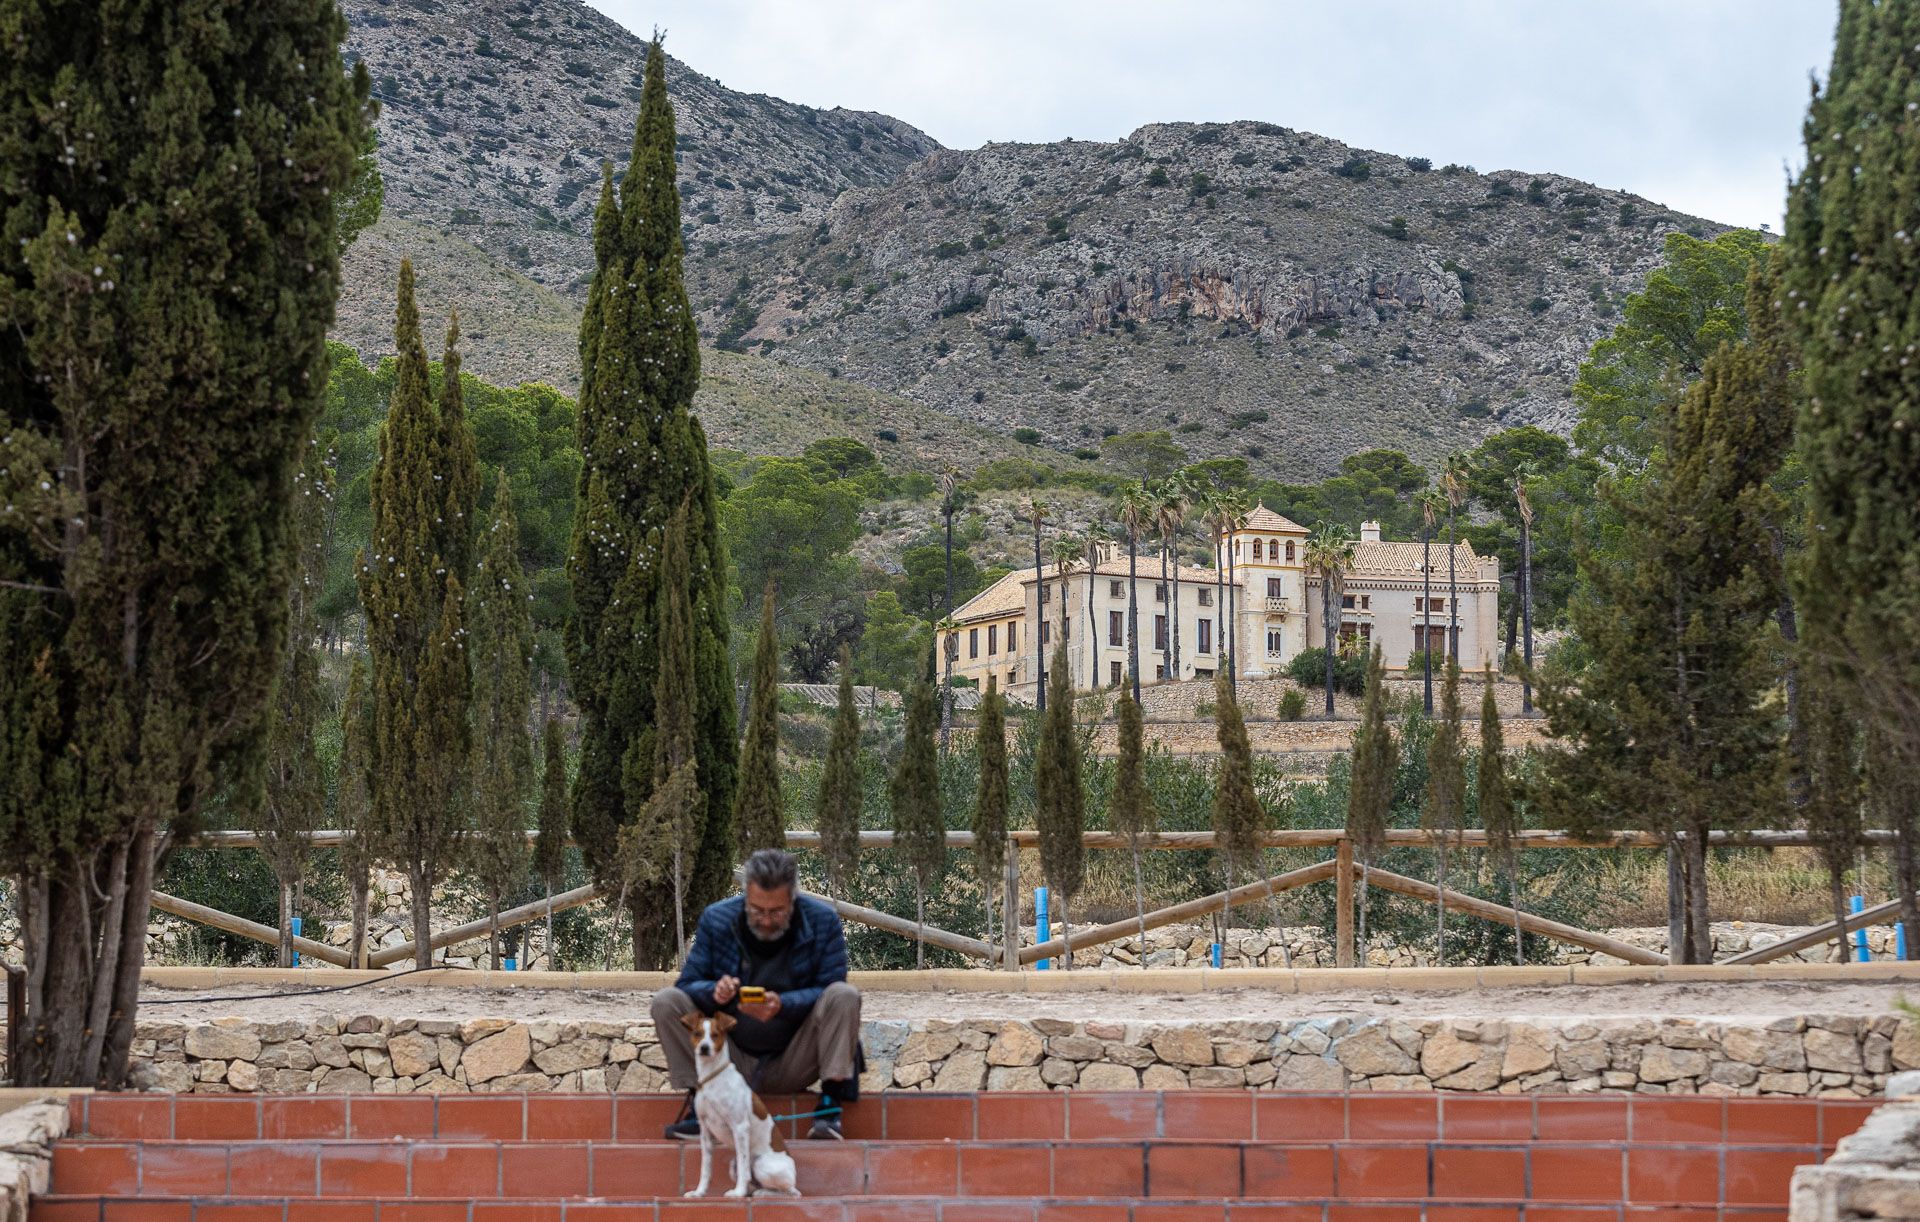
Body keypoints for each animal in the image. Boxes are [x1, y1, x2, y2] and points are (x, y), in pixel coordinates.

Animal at [679, 1006, 798, 1198]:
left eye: (715, 1035)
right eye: (697, 1033)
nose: (704, 1048)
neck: (712, 1078)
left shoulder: (740, 1127)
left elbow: (744, 1169)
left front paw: (738, 1193)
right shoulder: (705, 1132)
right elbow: (706, 1168)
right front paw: (699, 1192)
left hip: (762, 1164)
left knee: (790, 1192)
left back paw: (761, 1193)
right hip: (732, 1164)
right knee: (754, 1182)